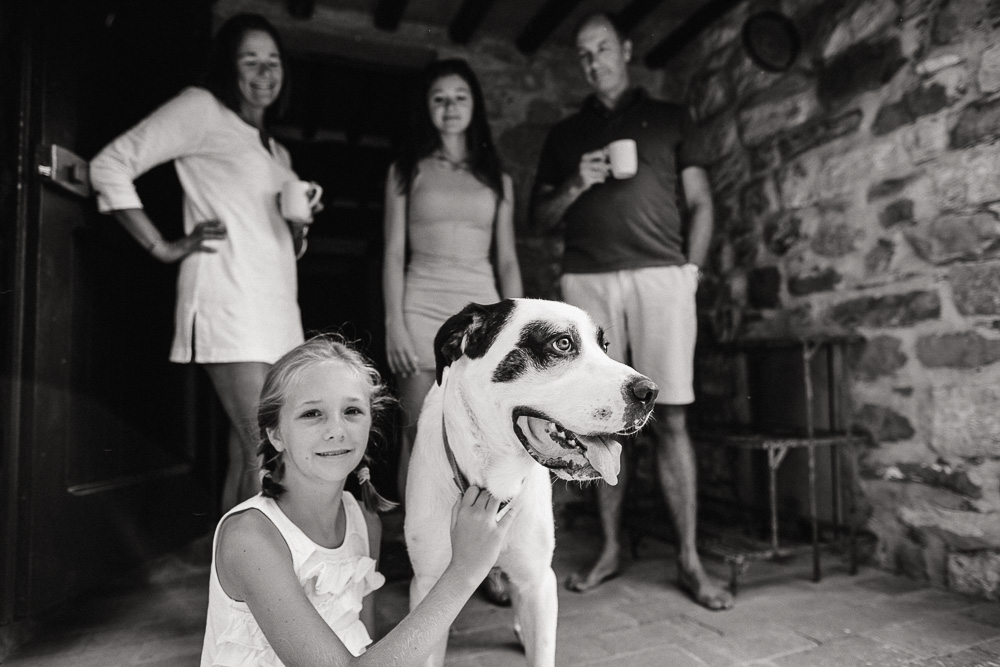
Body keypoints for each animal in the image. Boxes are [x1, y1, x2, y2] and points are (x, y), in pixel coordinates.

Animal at [402, 300, 660, 664]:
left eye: (605, 346)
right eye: (562, 343)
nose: (649, 392)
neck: (495, 481)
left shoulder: (539, 581)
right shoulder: (427, 587)